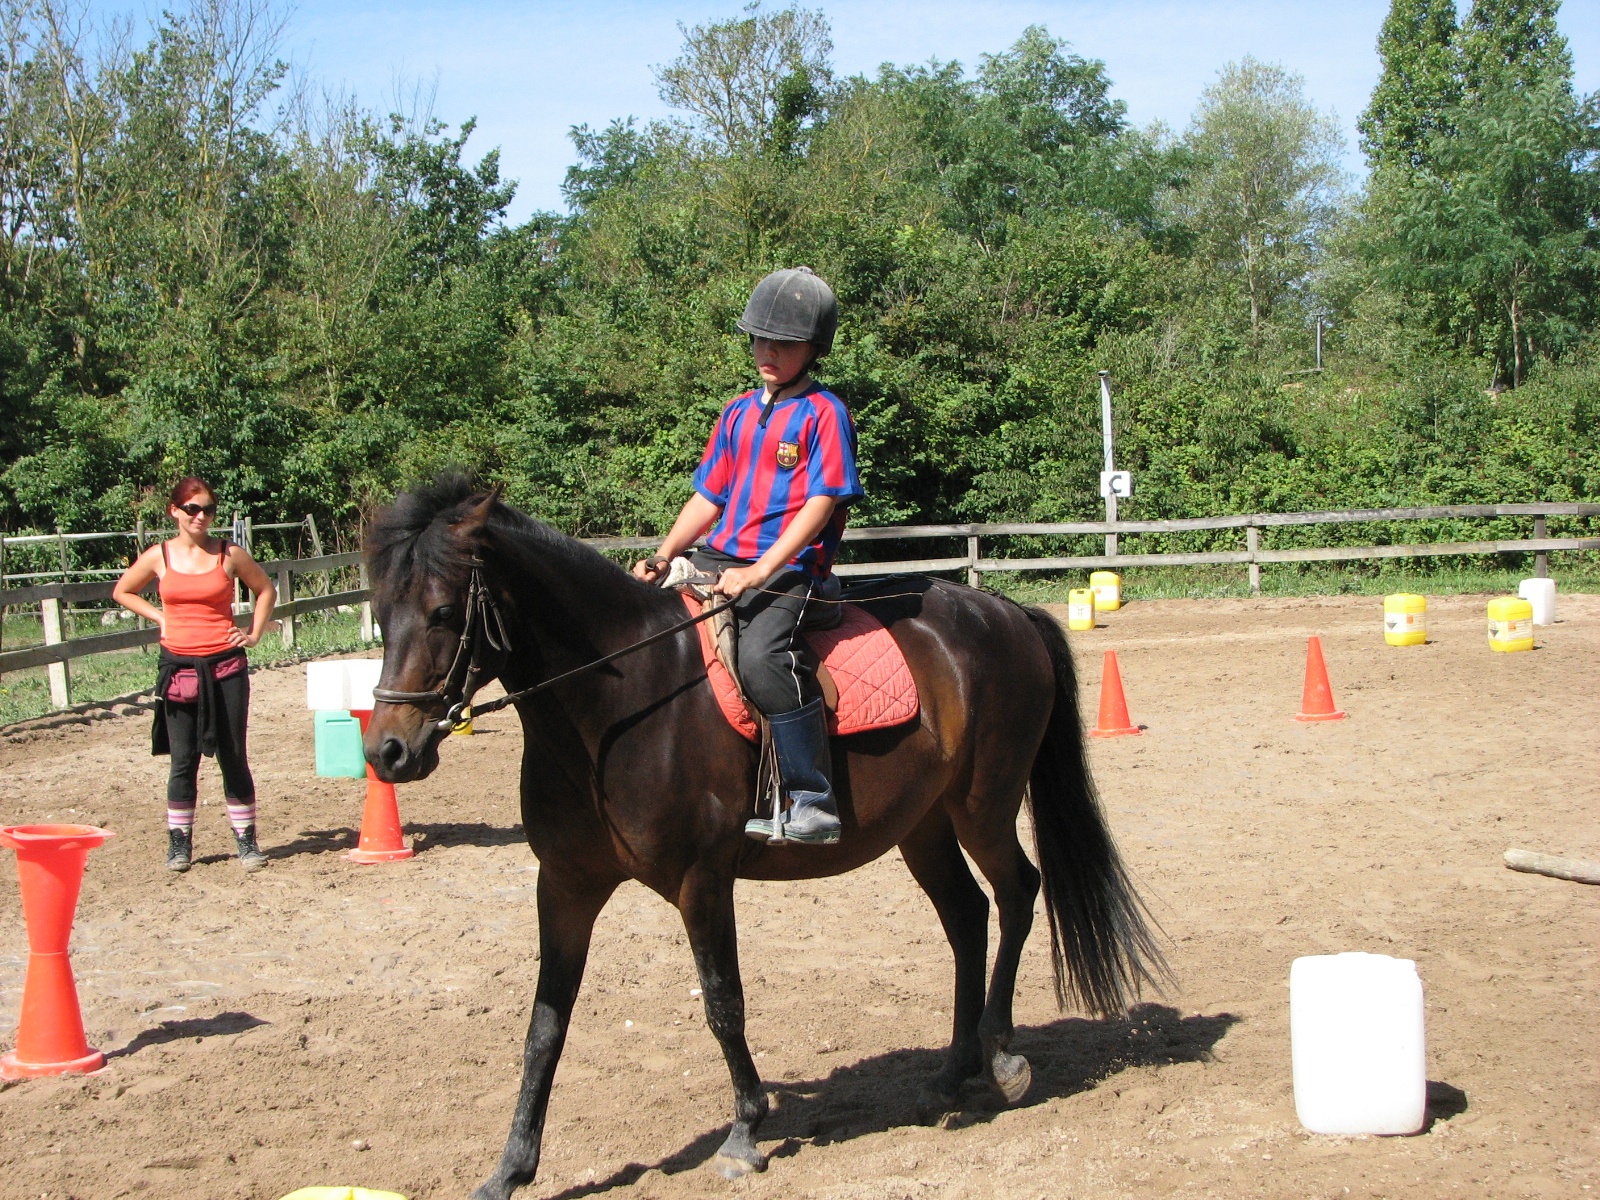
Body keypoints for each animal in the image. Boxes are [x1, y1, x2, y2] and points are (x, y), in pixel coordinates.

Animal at [363, 480, 1164, 1200]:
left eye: (442, 612)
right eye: (378, 611)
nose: (388, 753)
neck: (619, 702)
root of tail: (1008, 612)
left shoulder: (701, 881)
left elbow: (723, 1003)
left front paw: (745, 1132)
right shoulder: (563, 884)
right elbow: (544, 1026)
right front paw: (510, 1170)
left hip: (983, 805)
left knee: (1019, 894)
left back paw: (1000, 1059)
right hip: (925, 823)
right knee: (967, 916)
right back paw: (949, 1074)